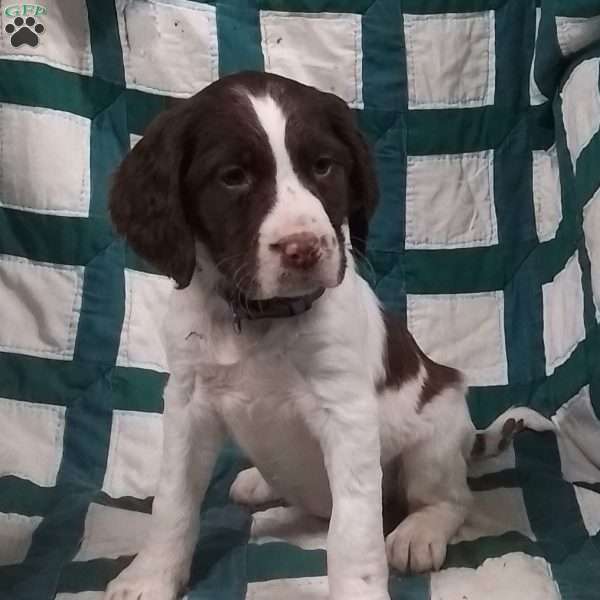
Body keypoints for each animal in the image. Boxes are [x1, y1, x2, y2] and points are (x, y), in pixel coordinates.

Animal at [104, 71, 552, 600]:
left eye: (323, 167)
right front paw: (149, 576)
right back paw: (260, 483)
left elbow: (353, 527)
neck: (260, 319)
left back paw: (418, 532)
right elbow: (172, 501)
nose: (304, 249)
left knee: (449, 498)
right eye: (233, 177)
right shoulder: (187, 401)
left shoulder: (346, 413)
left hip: (435, 436)